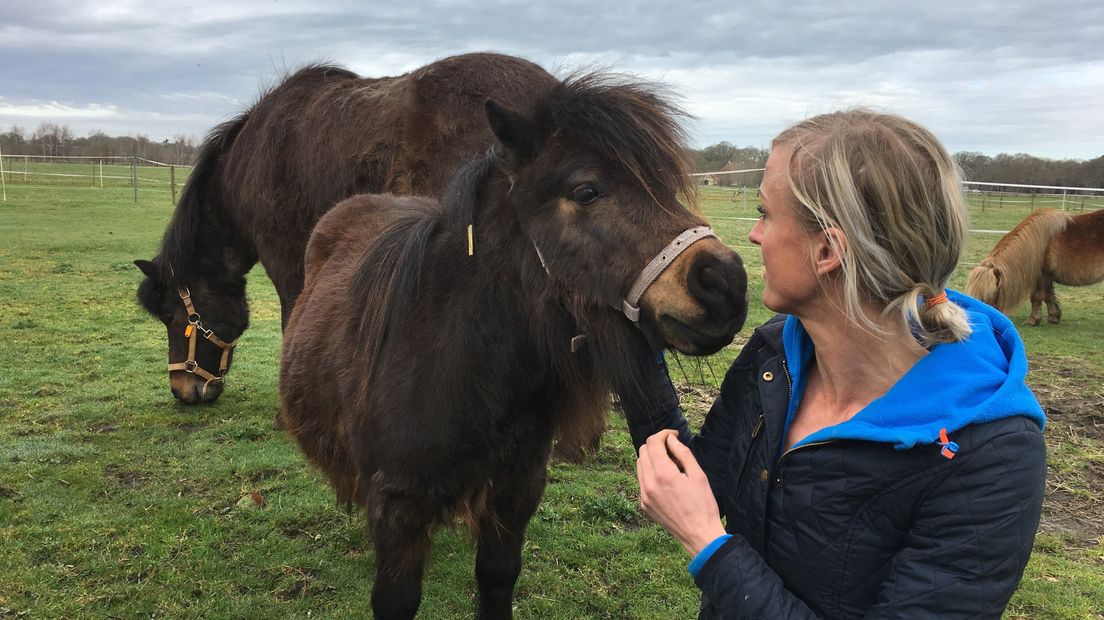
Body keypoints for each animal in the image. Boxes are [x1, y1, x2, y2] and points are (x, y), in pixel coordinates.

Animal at [278, 75, 750, 613]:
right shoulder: (399, 504)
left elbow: (497, 575)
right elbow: (396, 597)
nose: (726, 285)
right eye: (586, 191)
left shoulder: (517, 489)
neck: (463, 362)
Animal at [967, 207, 1104, 324]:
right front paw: (1054, 317)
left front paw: (1033, 320)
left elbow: (1037, 296)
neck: (1038, 243)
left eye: (992, 293)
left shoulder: (1042, 276)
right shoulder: (1046, 278)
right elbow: (1049, 296)